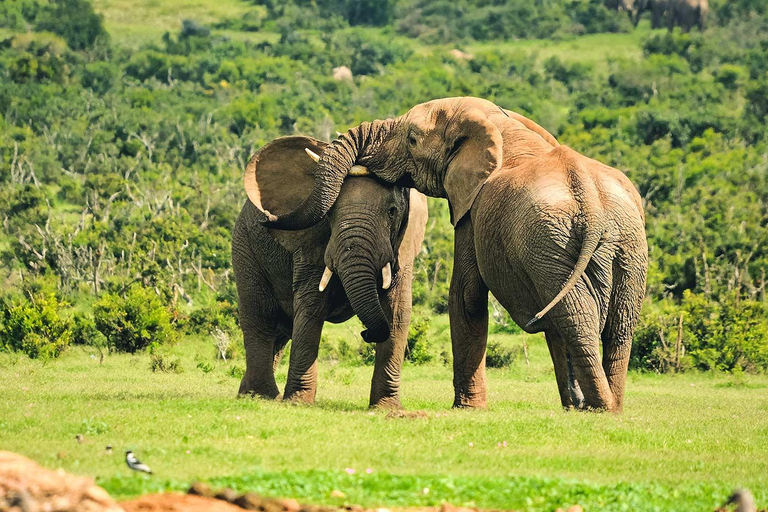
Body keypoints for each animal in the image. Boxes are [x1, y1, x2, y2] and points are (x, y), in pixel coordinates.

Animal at [231, 135, 428, 408]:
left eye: (392, 212)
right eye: (329, 214)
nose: (366, 333)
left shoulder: (403, 246)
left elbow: (397, 311)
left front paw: (388, 409)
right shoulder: (311, 243)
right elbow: (312, 305)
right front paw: (298, 403)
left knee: (280, 330)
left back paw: (255, 395)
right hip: (245, 247)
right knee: (261, 318)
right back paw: (262, 396)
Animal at [262, 98, 648, 414]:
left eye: (412, 139)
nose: (367, 334)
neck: (498, 121)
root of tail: (591, 201)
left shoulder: (471, 209)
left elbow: (465, 296)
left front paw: (467, 409)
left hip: (553, 247)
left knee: (577, 323)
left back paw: (599, 409)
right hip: (626, 248)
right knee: (617, 328)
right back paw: (607, 408)